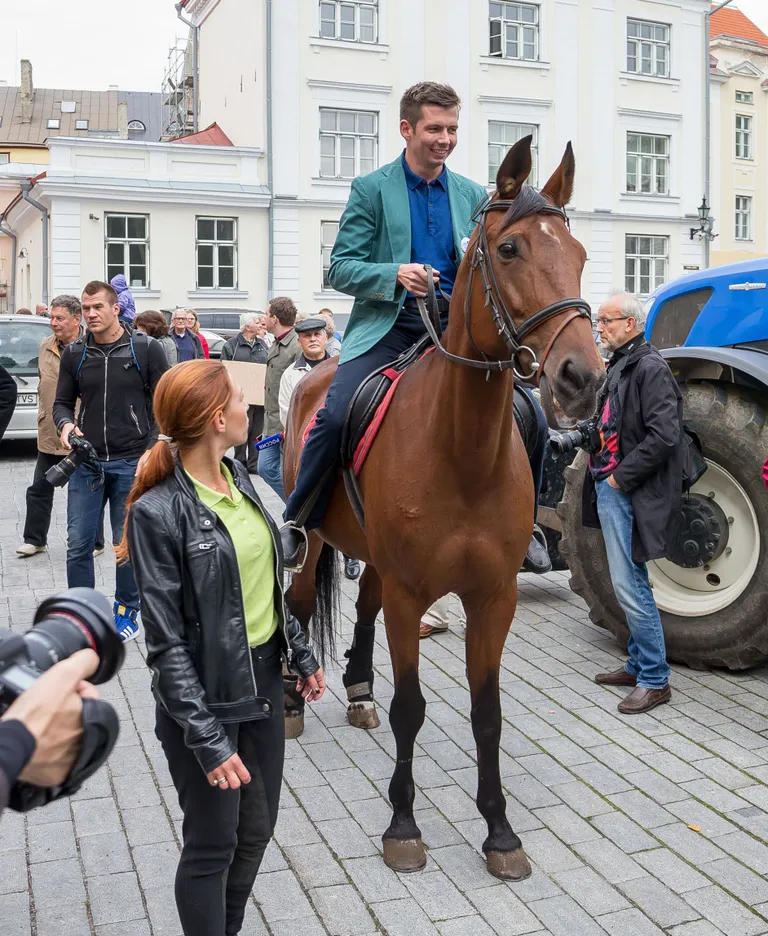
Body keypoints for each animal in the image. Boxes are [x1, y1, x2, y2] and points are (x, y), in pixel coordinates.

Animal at [282, 137, 608, 876]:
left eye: (579, 252)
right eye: (510, 249)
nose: (584, 377)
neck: (463, 451)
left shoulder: (491, 596)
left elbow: (487, 712)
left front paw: (500, 831)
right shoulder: (413, 593)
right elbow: (412, 706)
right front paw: (403, 825)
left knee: (363, 605)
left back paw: (358, 690)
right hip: (314, 537)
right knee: (299, 600)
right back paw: (290, 699)